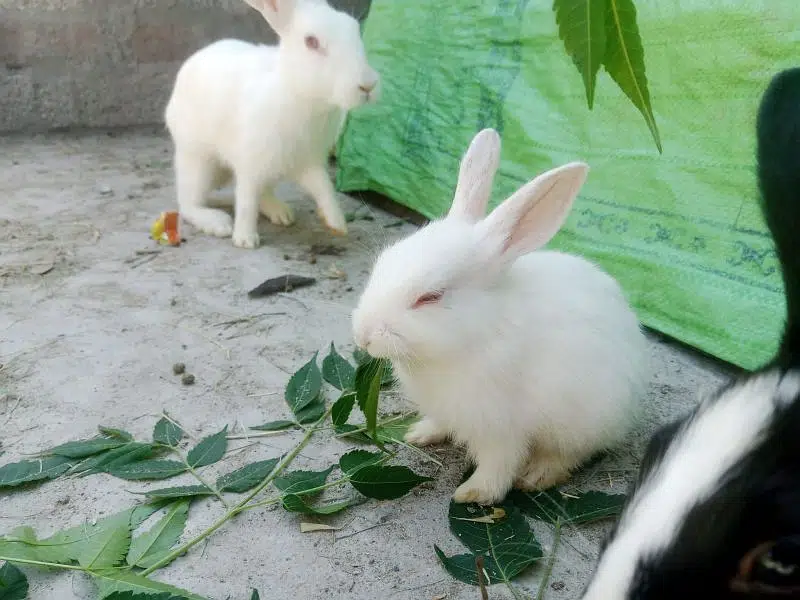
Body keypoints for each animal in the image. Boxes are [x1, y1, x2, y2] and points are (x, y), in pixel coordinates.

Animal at [164, 0, 380, 249]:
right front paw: (245, 239)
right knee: (188, 203)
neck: (302, 96)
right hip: (198, 161)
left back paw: (280, 213)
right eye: (311, 42)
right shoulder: (249, 163)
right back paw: (218, 223)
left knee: (264, 192)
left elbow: (324, 187)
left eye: (354, 28)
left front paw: (337, 222)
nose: (368, 85)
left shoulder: (309, 162)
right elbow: (246, 201)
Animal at [351, 128, 649, 505]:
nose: (362, 335)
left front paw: (473, 493)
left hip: (586, 418)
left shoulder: (501, 426)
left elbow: (499, 463)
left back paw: (537, 476)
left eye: (430, 297)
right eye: (382, 263)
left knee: (568, 454)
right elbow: (441, 423)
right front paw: (420, 434)